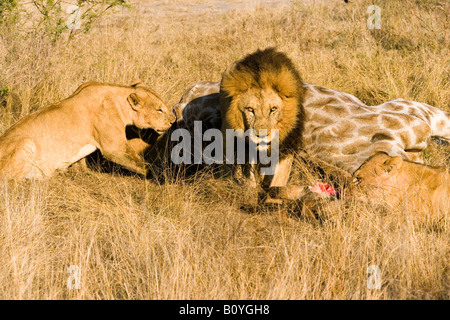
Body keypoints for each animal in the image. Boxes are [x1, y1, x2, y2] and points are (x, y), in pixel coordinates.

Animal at [0, 80, 175, 180]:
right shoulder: (114, 148)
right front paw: (160, 175)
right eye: (159, 110)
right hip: (26, 143)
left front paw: (85, 173)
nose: (173, 121)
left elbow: (81, 162)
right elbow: (141, 163)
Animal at [219, 47, 304, 192]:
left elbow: (279, 178)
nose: (262, 136)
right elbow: (250, 176)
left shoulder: (286, 146)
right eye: (250, 109)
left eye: (273, 109)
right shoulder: (247, 149)